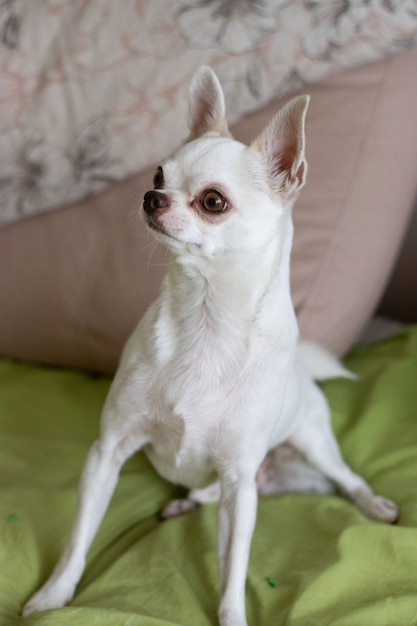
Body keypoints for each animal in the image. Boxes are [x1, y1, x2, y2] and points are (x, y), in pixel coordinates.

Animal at [22, 66, 396, 620]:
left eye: (212, 201)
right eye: (158, 175)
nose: (150, 197)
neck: (204, 318)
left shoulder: (241, 486)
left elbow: (232, 571)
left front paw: (233, 617)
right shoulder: (107, 452)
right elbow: (78, 536)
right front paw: (53, 596)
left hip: (312, 441)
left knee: (346, 477)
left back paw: (373, 503)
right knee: (208, 492)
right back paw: (184, 502)